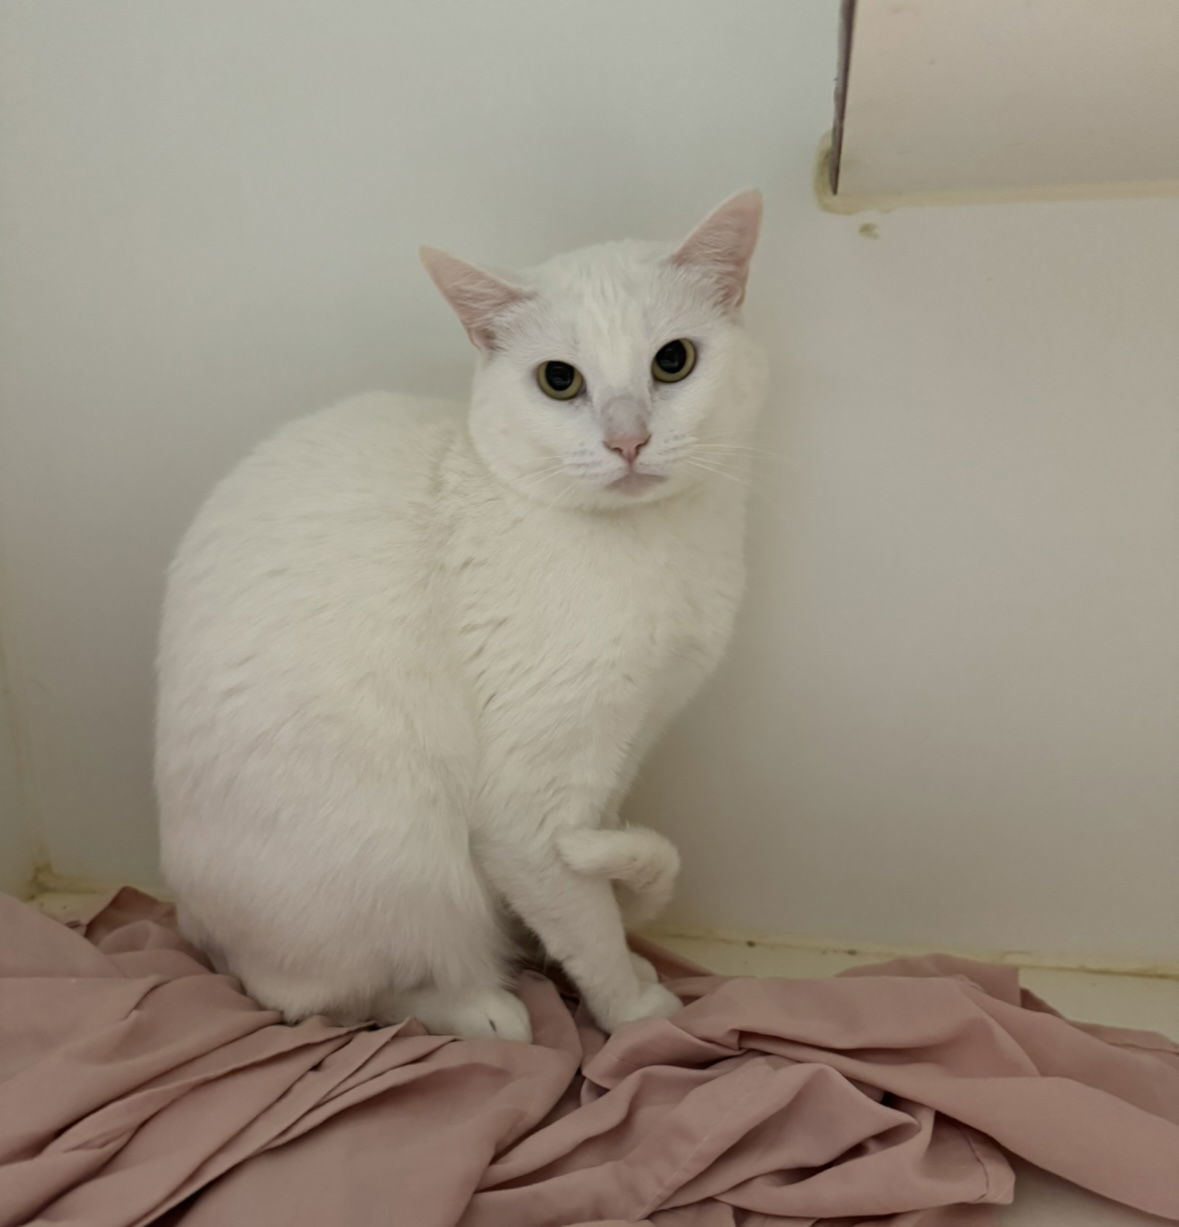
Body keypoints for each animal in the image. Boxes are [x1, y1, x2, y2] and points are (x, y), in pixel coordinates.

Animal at [153, 188, 765, 1035]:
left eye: (671, 361)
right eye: (558, 380)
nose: (628, 439)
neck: (657, 549)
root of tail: (190, 923)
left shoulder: (621, 749)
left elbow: (602, 899)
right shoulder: (528, 805)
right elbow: (588, 922)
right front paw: (635, 1010)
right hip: (402, 860)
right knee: (313, 997)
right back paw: (481, 1007)